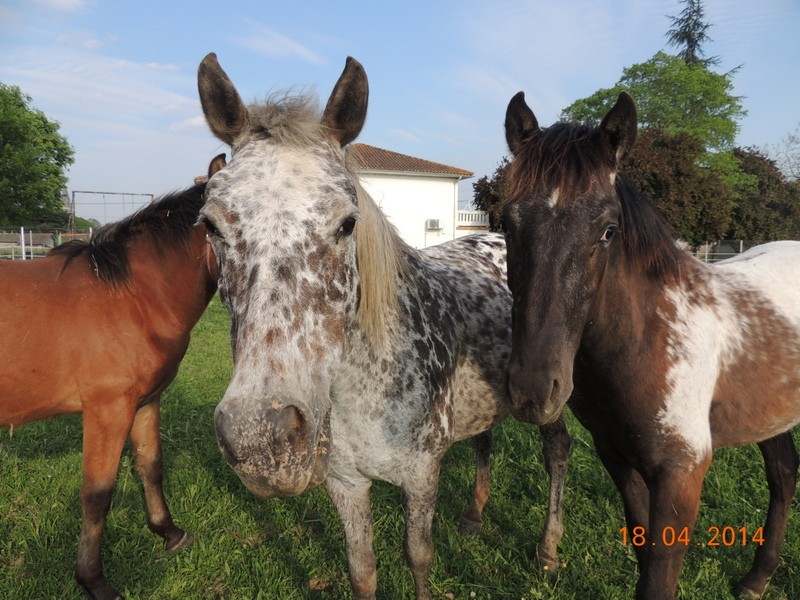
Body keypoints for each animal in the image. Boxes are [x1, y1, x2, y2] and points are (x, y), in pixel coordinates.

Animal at [0, 154, 225, 600]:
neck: (132, 298)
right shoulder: (107, 410)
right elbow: (97, 494)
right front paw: (93, 580)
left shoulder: (145, 402)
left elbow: (150, 466)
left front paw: (169, 532)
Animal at [197, 54, 572, 596]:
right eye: (210, 224)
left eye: (347, 222)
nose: (261, 439)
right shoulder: (345, 483)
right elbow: (362, 568)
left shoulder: (422, 475)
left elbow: (418, 557)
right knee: (485, 439)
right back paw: (475, 517)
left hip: (547, 397)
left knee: (557, 450)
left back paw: (548, 550)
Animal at [504, 90, 800, 600]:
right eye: (506, 222)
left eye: (607, 230)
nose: (534, 390)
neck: (647, 341)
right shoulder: (617, 457)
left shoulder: (682, 474)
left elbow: (659, 573)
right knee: (783, 473)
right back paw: (756, 578)